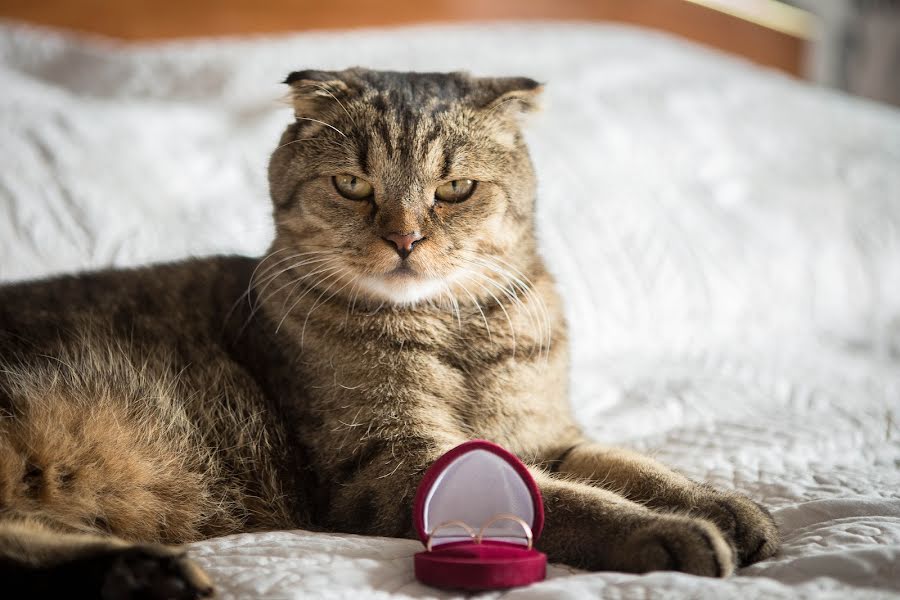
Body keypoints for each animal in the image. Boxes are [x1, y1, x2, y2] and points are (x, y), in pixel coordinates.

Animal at [0, 68, 776, 596]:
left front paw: (724, 505)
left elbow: (634, 467)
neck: (458, 330)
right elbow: (570, 501)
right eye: (352, 185)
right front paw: (666, 533)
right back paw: (143, 571)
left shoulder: (547, 436)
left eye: (455, 189)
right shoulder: (394, 460)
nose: (404, 238)